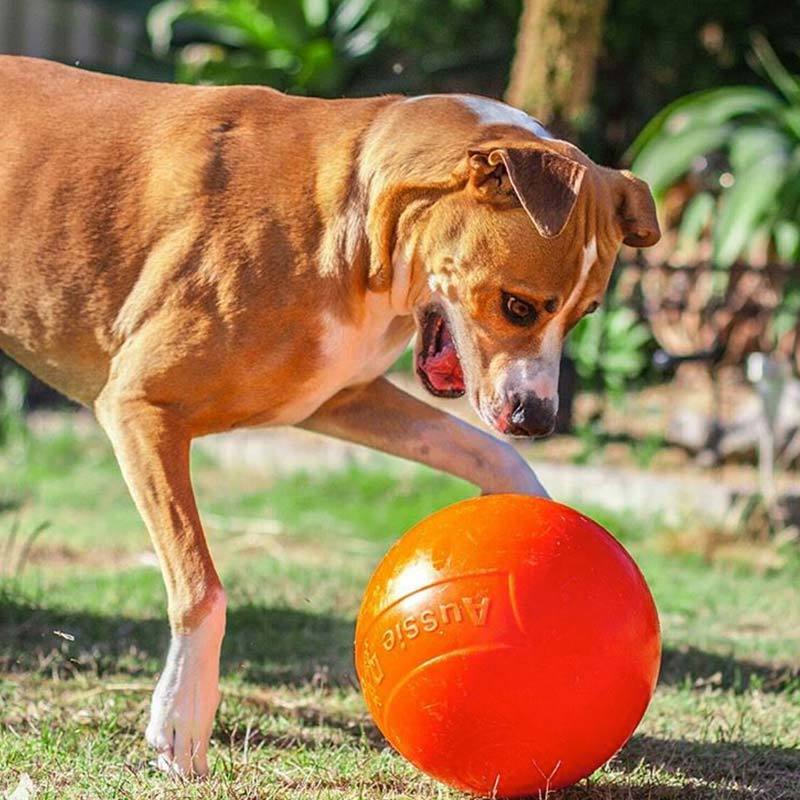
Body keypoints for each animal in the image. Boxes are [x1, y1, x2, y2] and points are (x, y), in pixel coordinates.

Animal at [0, 56, 660, 776]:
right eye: (519, 306)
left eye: (584, 315)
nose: (537, 418)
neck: (354, 217)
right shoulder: (141, 407)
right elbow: (201, 588)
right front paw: (181, 721)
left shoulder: (343, 398)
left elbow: (487, 450)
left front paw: (530, 509)